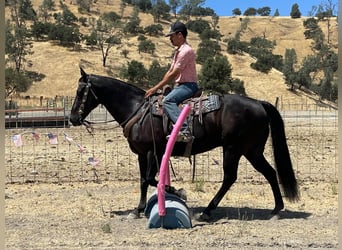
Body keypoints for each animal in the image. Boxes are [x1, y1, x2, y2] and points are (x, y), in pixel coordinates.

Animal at [70, 67, 300, 220]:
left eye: (80, 92)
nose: (72, 118)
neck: (136, 108)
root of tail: (259, 103)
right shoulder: (142, 154)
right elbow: (145, 180)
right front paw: (141, 207)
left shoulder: (151, 152)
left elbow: (148, 179)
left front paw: (176, 192)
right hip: (252, 151)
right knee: (270, 172)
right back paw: (276, 209)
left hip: (233, 149)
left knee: (230, 178)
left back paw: (207, 211)